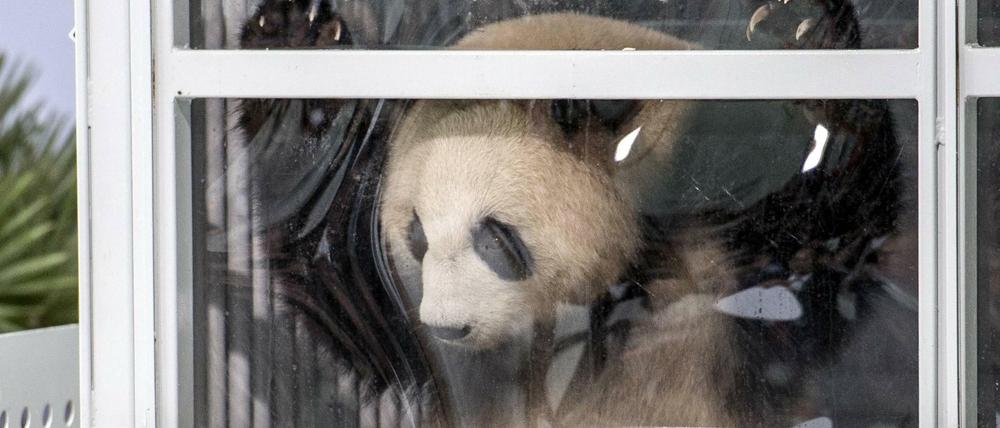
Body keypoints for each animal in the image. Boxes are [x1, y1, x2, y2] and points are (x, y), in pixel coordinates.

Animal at [231, 1, 913, 427]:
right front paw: (288, 44)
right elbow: (336, 280)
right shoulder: (416, 340)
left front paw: (797, 29)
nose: (448, 326)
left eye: (495, 237)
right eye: (416, 235)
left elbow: (835, 244)